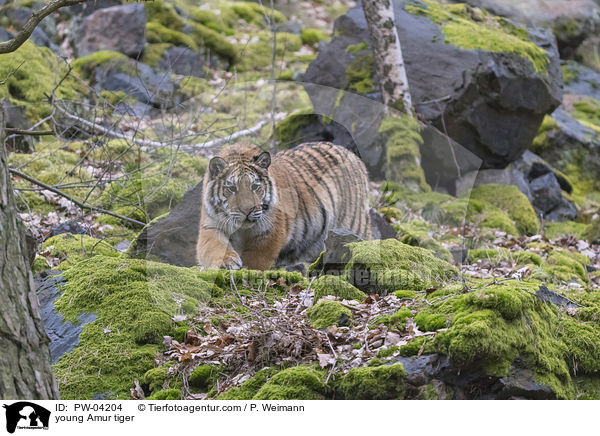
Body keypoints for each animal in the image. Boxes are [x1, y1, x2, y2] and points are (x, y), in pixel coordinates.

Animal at [197, 141, 370, 270]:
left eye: (255, 187)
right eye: (232, 188)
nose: (247, 211)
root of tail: (353, 156)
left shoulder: (271, 231)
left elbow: (257, 259)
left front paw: (248, 268)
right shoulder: (211, 226)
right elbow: (215, 246)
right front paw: (228, 261)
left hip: (353, 225)